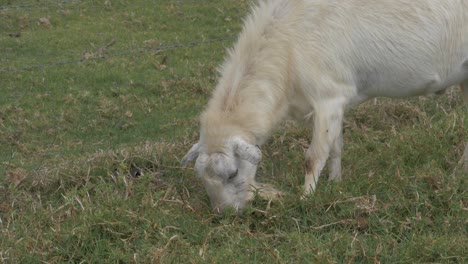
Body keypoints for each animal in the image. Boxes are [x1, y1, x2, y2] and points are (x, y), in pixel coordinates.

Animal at [182, 0, 468, 212]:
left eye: (232, 174)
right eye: (203, 179)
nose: (225, 213)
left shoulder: (327, 99)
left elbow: (314, 157)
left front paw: (306, 198)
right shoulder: (334, 104)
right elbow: (335, 147)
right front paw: (335, 182)